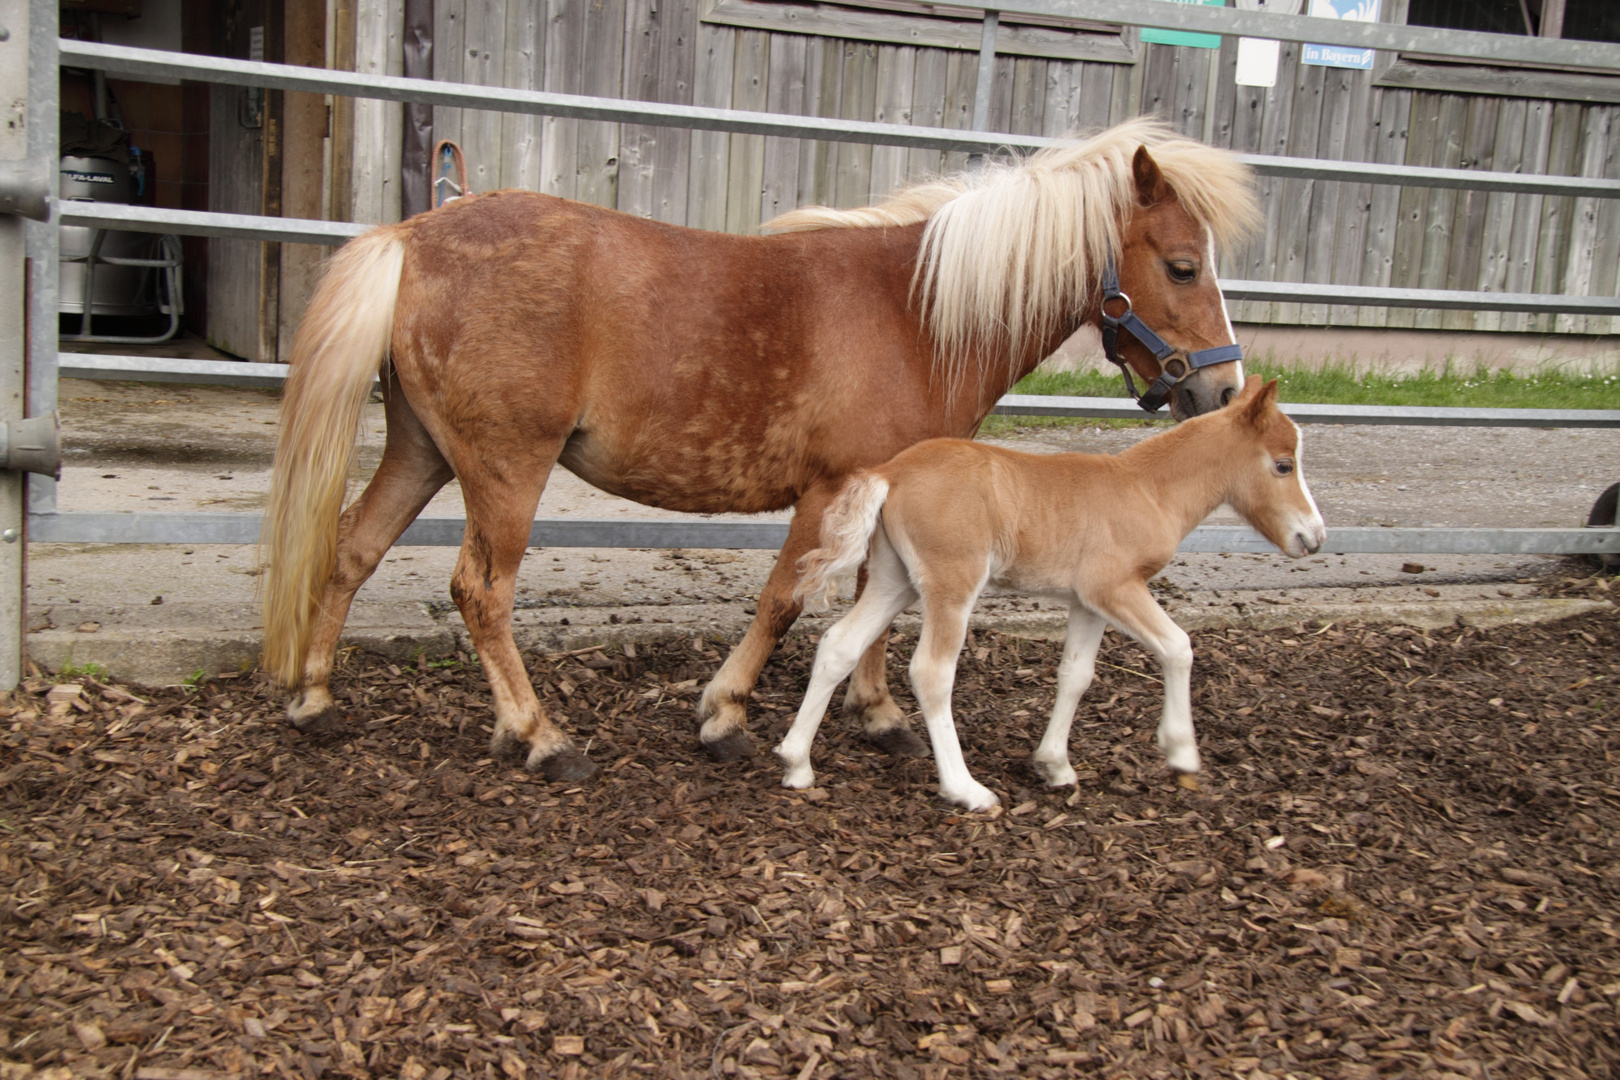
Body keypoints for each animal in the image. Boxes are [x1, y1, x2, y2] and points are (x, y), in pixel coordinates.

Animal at [262, 116, 1250, 777]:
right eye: (1181, 265)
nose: (1223, 389)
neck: (916, 313)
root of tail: (413, 234)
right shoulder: (834, 489)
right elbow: (785, 601)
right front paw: (726, 713)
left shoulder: (889, 499)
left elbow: (876, 604)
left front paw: (878, 713)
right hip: (507, 471)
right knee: (480, 591)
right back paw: (541, 737)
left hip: (424, 453)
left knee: (351, 549)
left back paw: (315, 698)